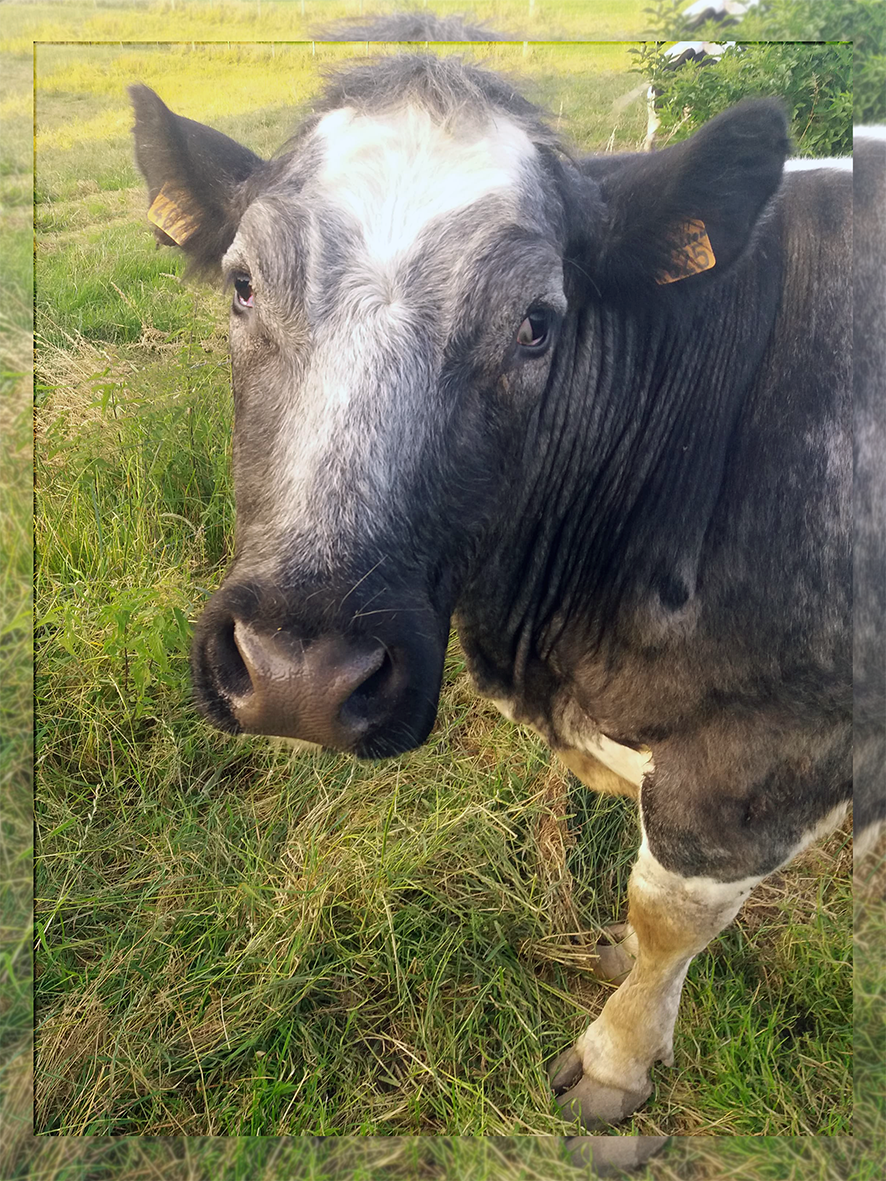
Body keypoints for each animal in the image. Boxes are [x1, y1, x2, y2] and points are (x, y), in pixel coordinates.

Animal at [129, 51, 875, 1136]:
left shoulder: (769, 751)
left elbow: (671, 910)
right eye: (241, 285)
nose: (301, 675)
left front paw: (617, 1056)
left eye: (536, 324)